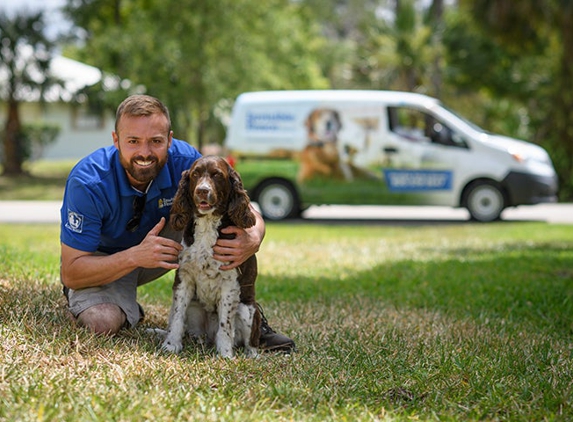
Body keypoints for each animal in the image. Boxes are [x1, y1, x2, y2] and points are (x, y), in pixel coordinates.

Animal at [161, 157, 260, 358]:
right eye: (195, 174)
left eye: (217, 175)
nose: (202, 190)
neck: (207, 224)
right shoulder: (184, 279)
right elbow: (177, 317)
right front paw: (171, 345)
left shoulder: (230, 284)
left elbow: (225, 325)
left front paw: (225, 354)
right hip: (195, 307)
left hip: (248, 310)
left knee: (251, 342)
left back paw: (251, 355)